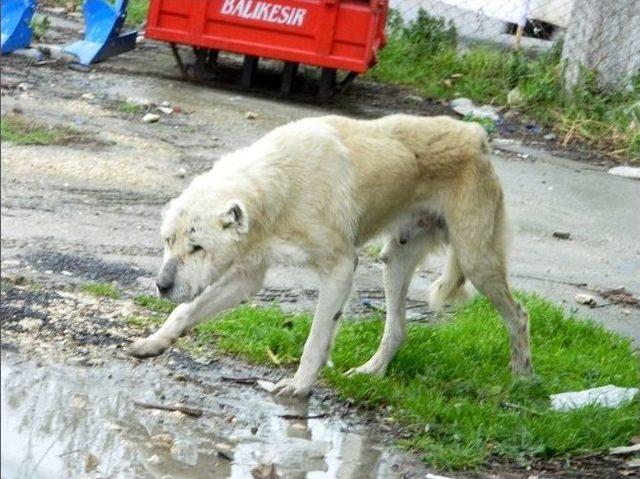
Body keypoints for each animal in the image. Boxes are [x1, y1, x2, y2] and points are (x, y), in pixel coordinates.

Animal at [127, 113, 532, 398]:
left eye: (197, 247)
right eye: (167, 242)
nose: (161, 286)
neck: (279, 184)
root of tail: (476, 135)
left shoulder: (340, 269)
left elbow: (316, 339)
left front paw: (299, 386)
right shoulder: (246, 277)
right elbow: (185, 312)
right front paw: (155, 342)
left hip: (477, 260)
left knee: (519, 315)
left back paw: (523, 379)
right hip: (396, 262)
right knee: (397, 330)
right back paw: (371, 372)